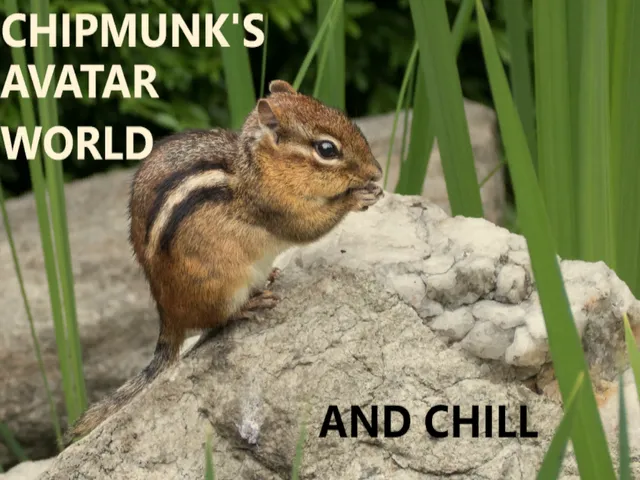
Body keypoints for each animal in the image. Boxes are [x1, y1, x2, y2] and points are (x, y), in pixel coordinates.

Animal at [63, 79, 383, 445]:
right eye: (327, 149)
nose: (377, 171)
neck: (258, 166)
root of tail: (167, 314)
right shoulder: (277, 207)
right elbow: (309, 227)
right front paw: (357, 196)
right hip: (222, 286)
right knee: (217, 320)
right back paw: (250, 304)